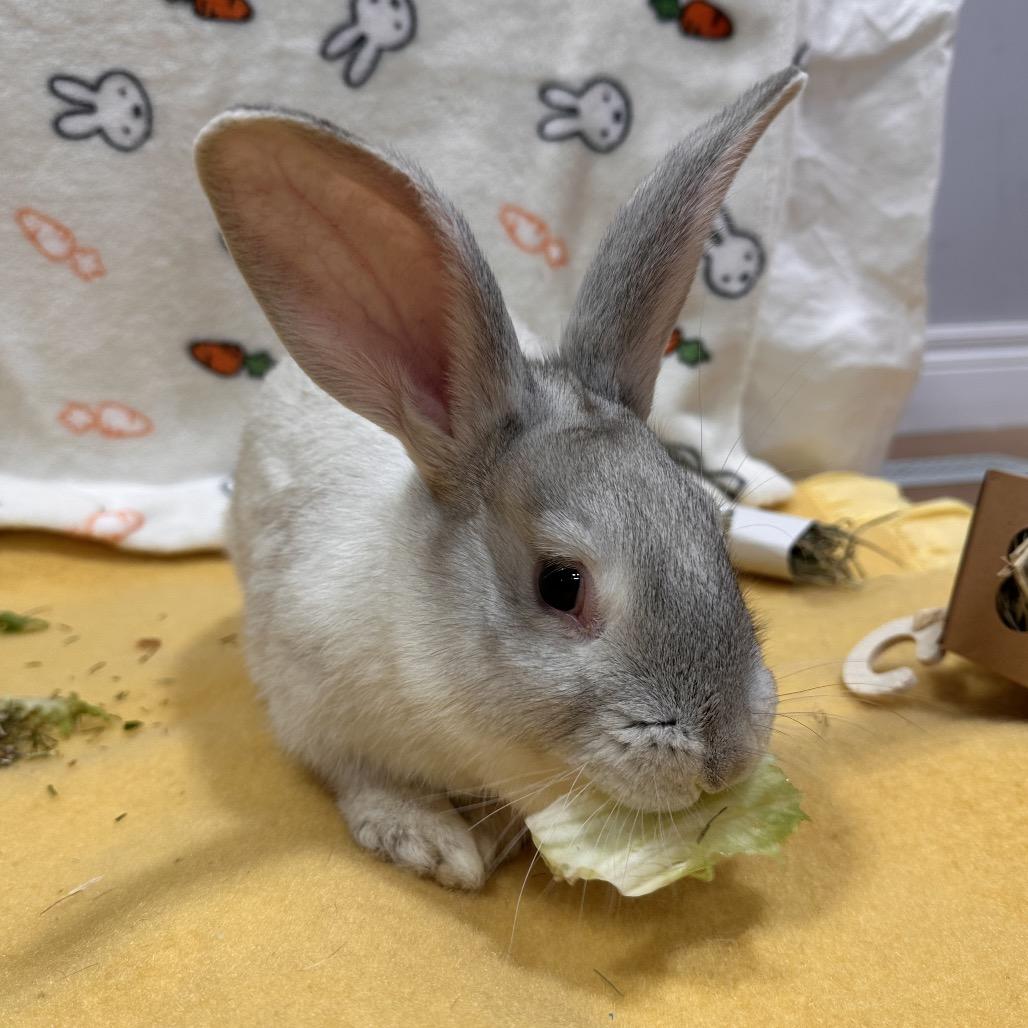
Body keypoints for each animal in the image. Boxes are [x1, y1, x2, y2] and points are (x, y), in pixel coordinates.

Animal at [194, 64, 805, 890]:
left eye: (717, 524)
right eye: (561, 584)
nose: (729, 753)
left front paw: (495, 833)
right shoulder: (314, 710)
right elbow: (363, 780)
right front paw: (432, 844)